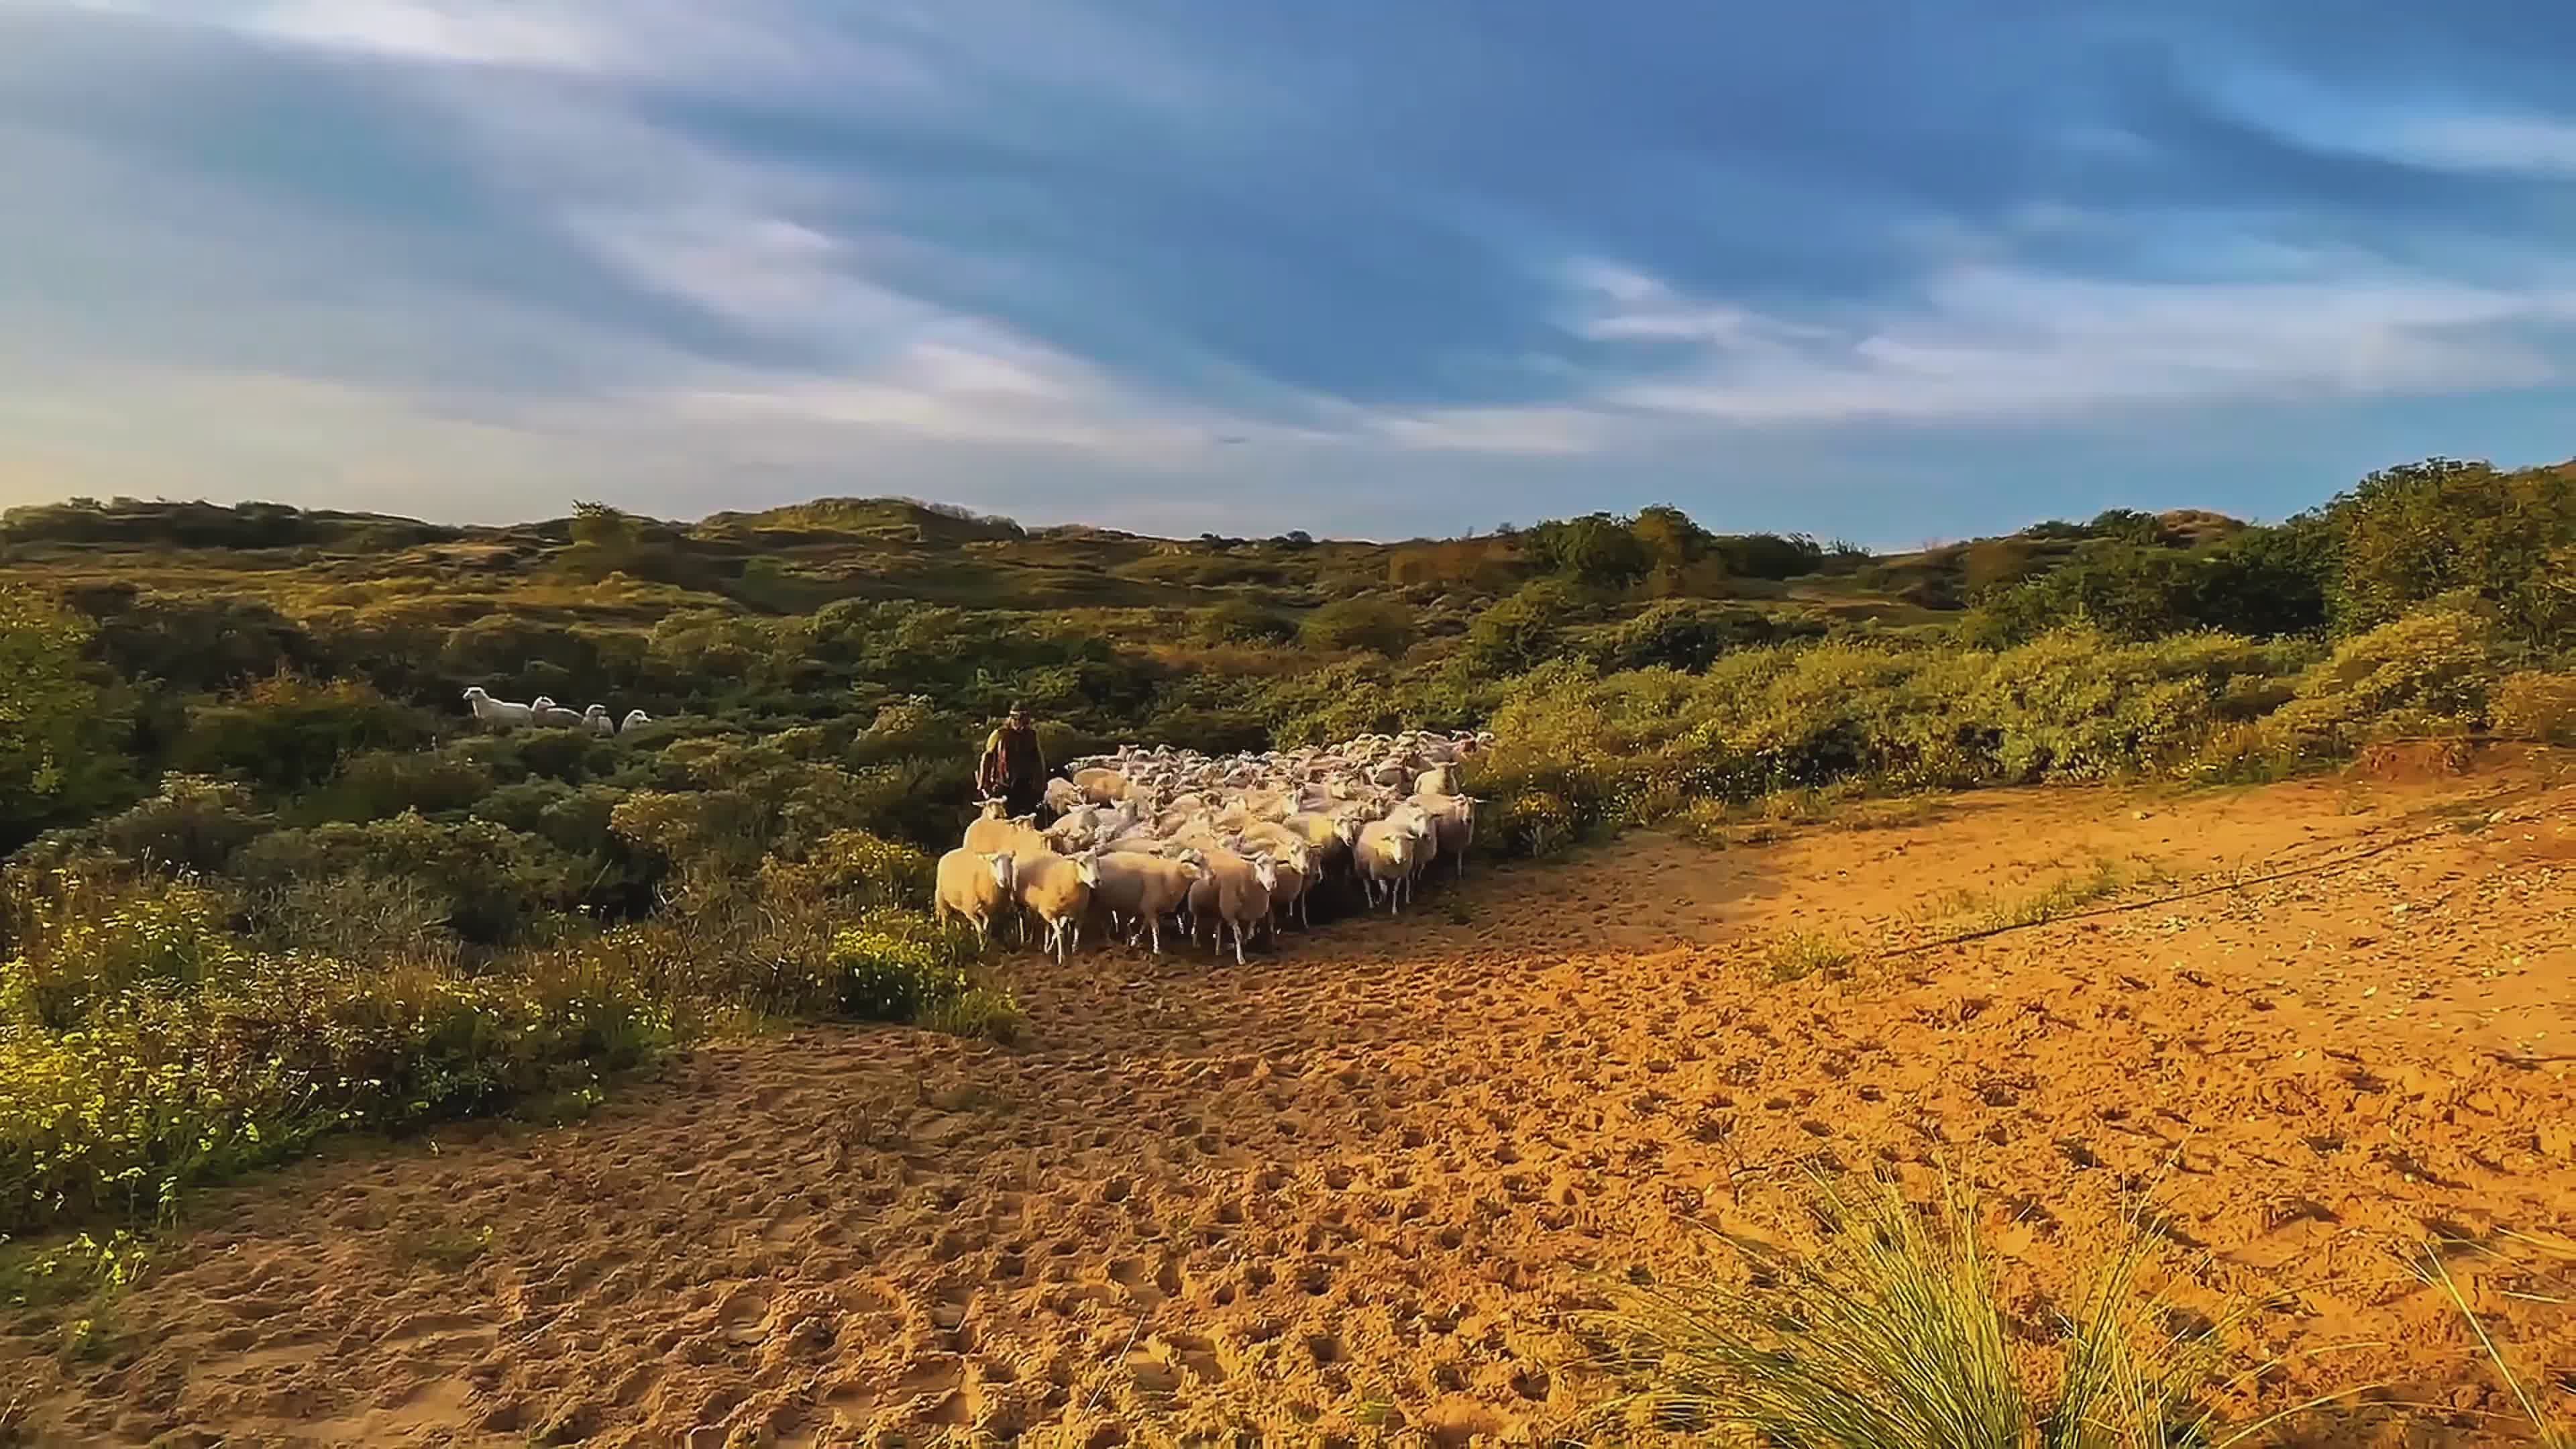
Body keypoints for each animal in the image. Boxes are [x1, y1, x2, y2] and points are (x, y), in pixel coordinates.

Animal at [933, 849, 1018, 946]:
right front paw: (982, 946)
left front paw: (987, 943)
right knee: (945, 918)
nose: (1004, 880)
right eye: (993, 862)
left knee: (957, 919)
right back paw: (945, 935)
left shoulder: (991, 912)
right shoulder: (970, 911)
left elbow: (986, 928)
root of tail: (950, 852)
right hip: (942, 898)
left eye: (1010, 860)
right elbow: (980, 929)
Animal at [1014, 850, 1101, 964]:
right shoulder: (1049, 912)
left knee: (1040, 923)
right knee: (1022, 919)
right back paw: (1024, 939)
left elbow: (1072, 930)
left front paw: (1072, 949)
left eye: (1097, 862)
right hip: (1020, 902)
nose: (1097, 881)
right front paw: (1061, 957)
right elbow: (1060, 933)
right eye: (1081, 863)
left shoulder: (1073, 913)